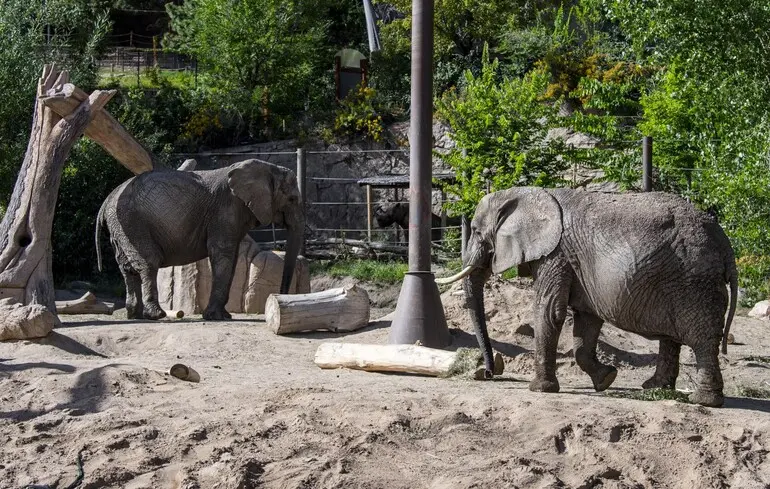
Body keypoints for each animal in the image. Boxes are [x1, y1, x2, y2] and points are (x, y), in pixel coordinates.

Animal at [98, 159, 306, 320]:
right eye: (292, 199)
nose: (279, 297)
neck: (267, 167)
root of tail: (108, 199)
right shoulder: (225, 210)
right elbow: (222, 253)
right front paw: (216, 317)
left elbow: (233, 258)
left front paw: (223, 316)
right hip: (132, 222)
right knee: (149, 262)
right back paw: (156, 315)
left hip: (120, 227)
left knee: (127, 267)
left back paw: (135, 315)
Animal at [436, 187, 736, 408]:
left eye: (476, 231)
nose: (489, 373)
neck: (525, 193)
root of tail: (725, 243)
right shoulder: (574, 264)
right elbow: (586, 321)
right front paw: (606, 380)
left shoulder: (555, 254)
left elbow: (550, 310)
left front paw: (539, 390)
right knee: (672, 338)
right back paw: (655, 388)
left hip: (694, 280)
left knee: (701, 339)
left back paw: (703, 401)